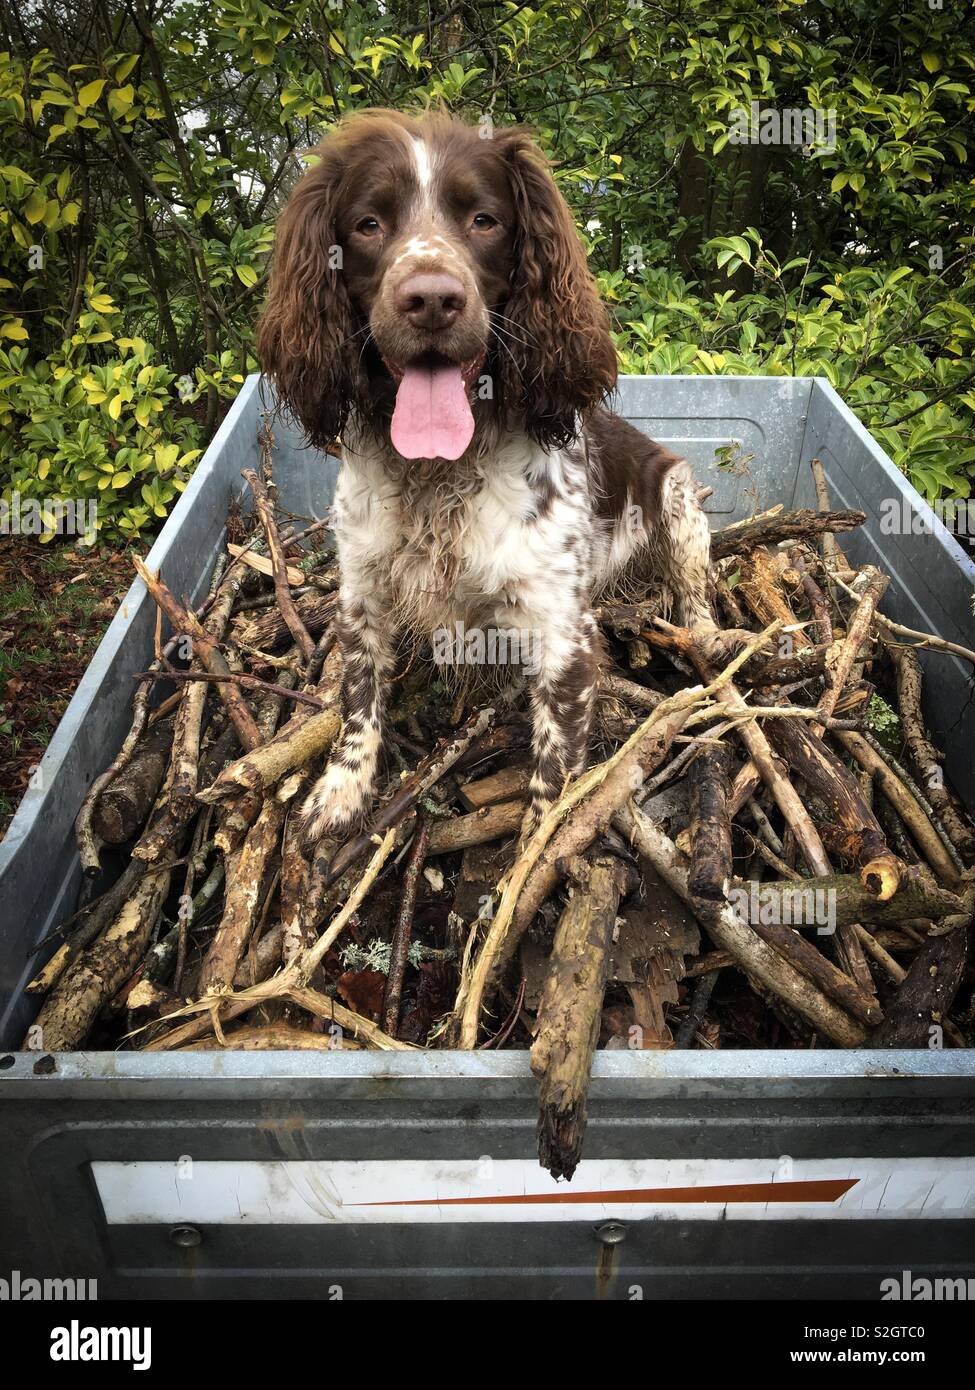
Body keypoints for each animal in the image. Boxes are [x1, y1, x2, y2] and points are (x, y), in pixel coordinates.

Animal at [254, 108, 712, 839]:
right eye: (368, 223)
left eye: (484, 219)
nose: (431, 299)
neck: (439, 473)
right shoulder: (361, 595)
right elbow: (357, 703)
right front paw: (341, 792)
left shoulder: (562, 634)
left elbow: (552, 781)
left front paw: (532, 858)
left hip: (676, 496)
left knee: (694, 596)